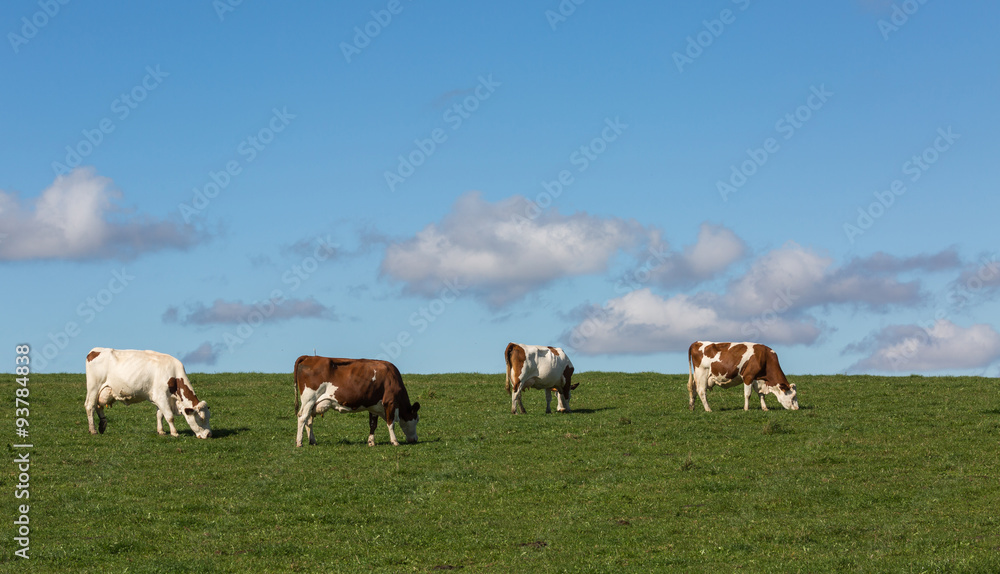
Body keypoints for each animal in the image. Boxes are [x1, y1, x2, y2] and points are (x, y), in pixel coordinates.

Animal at [82, 348, 213, 438]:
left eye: (209, 417)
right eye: (201, 418)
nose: (209, 435)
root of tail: (95, 350)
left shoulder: (161, 398)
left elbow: (160, 415)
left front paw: (161, 431)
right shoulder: (161, 396)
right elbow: (169, 416)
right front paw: (174, 433)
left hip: (102, 391)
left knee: (98, 406)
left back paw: (102, 425)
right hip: (93, 387)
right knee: (90, 406)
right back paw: (93, 430)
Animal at [292, 356, 420, 450]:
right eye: (417, 419)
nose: (415, 439)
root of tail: (309, 357)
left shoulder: (373, 406)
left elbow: (373, 424)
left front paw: (371, 442)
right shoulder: (390, 402)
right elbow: (391, 423)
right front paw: (394, 441)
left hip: (313, 403)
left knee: (309, 420)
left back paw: (312, 441)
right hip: (309, 399)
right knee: (302, 418)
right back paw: (299, 442)